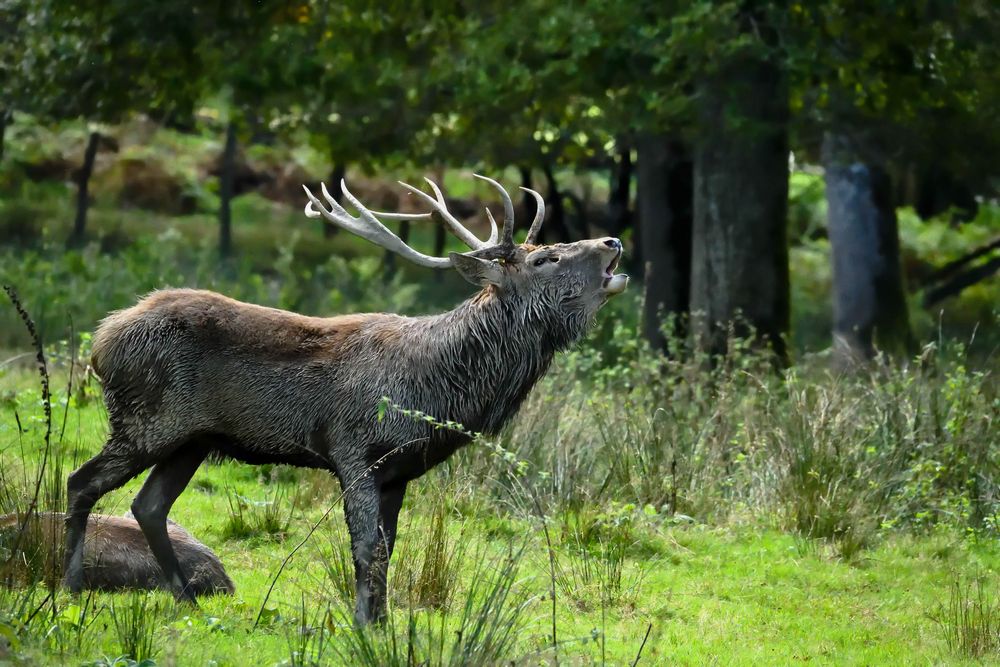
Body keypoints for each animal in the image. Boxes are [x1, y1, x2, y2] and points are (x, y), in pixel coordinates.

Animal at [63, 173, 628, 624]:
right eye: (548, 257)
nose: (613, 239)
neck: (435, 392)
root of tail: (99, 341)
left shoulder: (399, 471)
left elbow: (389, 548)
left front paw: (385, 622)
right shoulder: (354, 450)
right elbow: (366, 548)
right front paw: (363, 625)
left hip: (191, 439)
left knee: (148, 505)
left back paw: (185, 599)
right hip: (146, 419)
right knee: (81, 481)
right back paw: (68, 587)